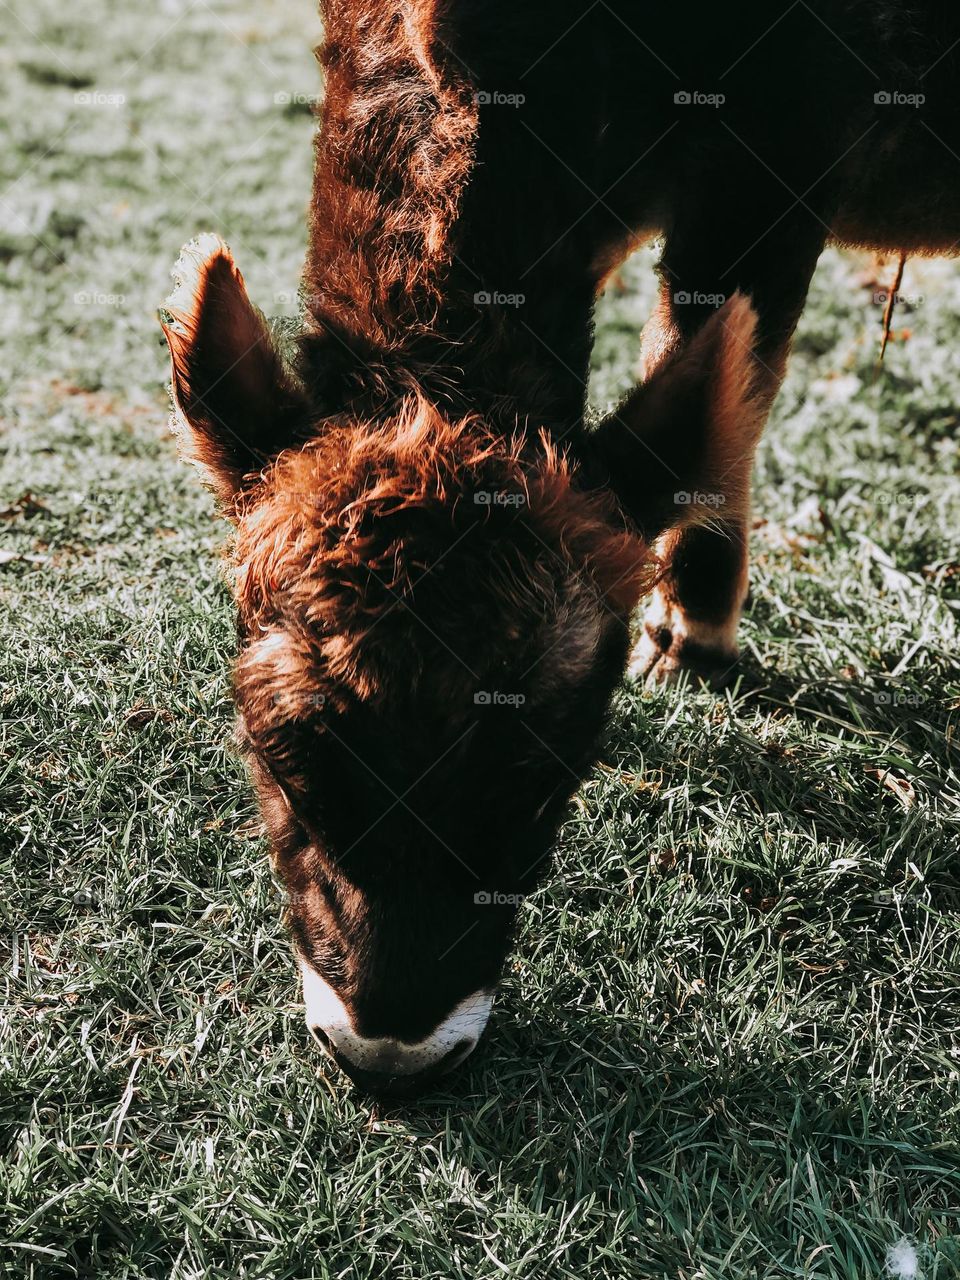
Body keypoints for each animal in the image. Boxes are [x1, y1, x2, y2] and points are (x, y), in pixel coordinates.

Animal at [160, 0, 960, 1094]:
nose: (393, 1051)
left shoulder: (778, 162)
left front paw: (695, 634)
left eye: (548, 776)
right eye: (283, 761)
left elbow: (721, 382)